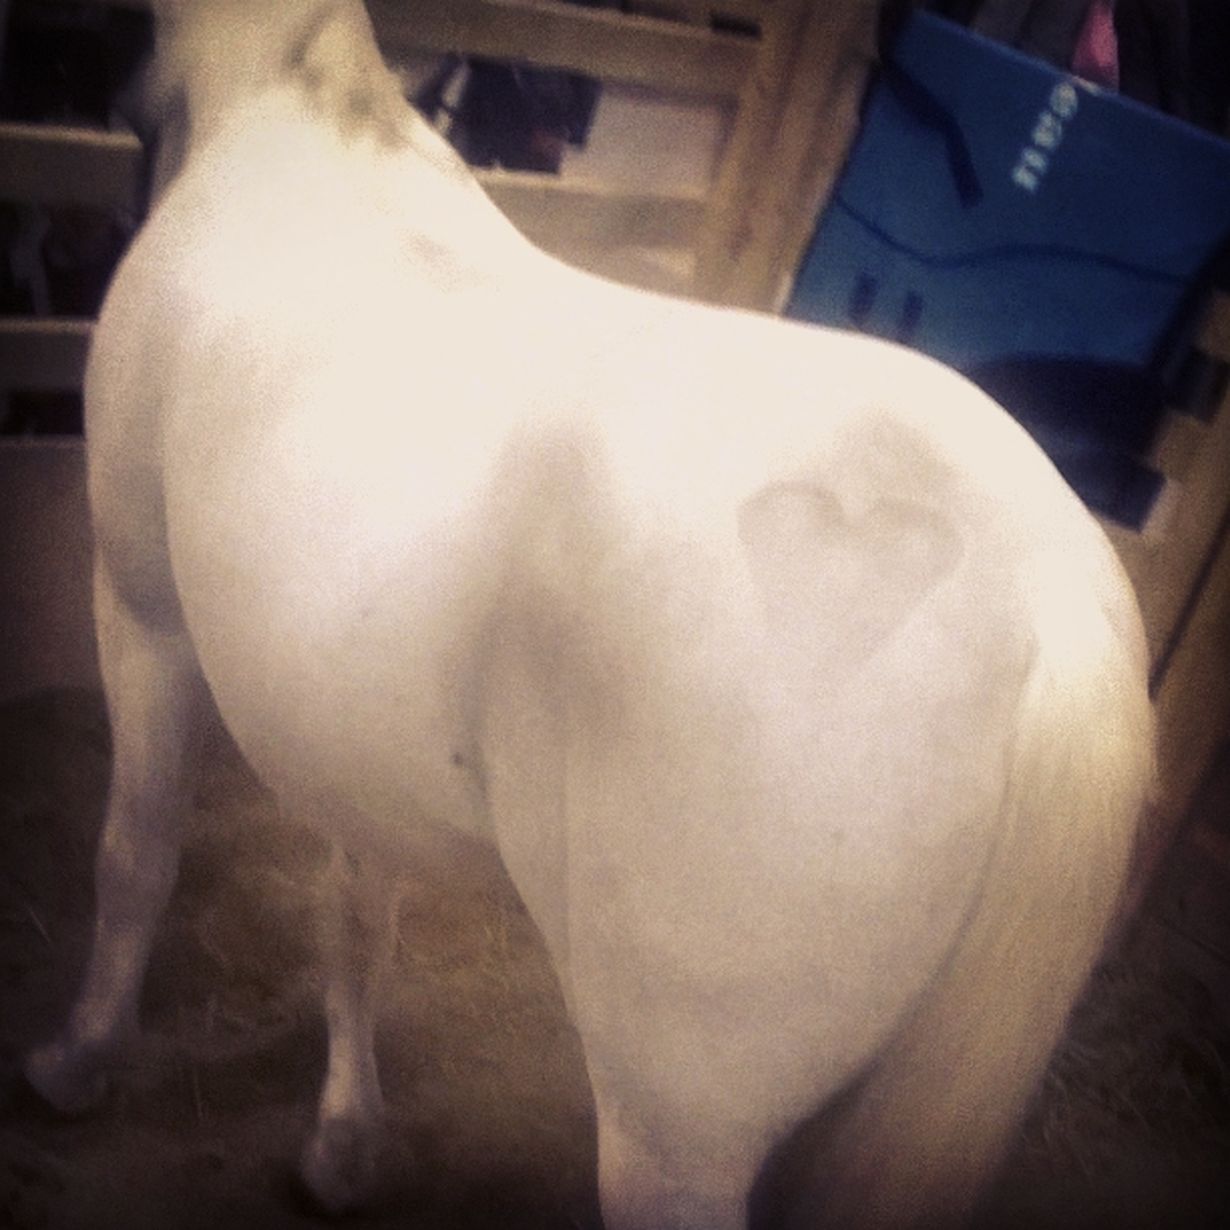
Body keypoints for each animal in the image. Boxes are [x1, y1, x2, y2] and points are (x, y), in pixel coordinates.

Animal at [24, 2, 1155, 1226]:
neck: (299, 119)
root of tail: (1046, 602)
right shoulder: (352, 748)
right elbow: (356, 924)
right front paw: (344, 1143)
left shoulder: (141, 614)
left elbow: (135, 853)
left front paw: (79, 1061)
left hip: (672, 1137)